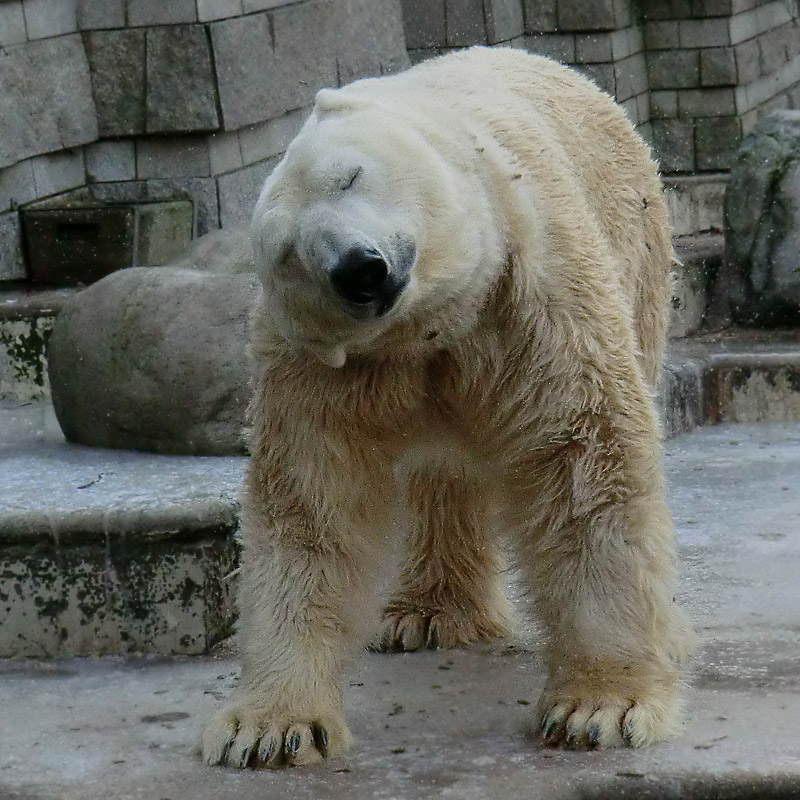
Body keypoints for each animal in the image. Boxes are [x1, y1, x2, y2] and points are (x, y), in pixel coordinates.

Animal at [202, 45, 692, 768]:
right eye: (292, 254)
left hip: (634, 252)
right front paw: (269, 727)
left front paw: (601, 706)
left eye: (347, 176)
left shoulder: (530, 292)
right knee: (441, 477)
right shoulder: (319, 371)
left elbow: (583, 460)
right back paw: (425, 610)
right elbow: (312, 501)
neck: (434, 326)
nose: (358, 268)